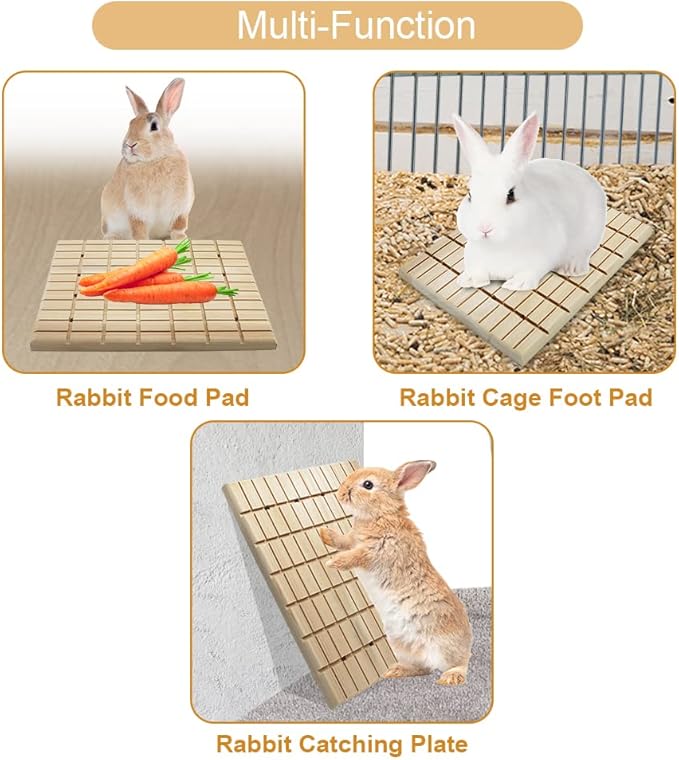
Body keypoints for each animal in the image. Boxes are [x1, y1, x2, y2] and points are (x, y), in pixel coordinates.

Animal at [101, 78, 195, 240]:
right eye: (130, 124)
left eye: (154, 126)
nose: (130, 144)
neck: (155, 160)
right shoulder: (137, 212)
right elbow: (140, 231)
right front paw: (142, 241)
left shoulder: (180, 209)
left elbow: (178, 228)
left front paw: (181, 239)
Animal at [319, 460, 473, 686]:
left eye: (367, 484)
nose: (340, 493)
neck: (380, 515)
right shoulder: (353, 540)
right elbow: (343, 541)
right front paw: (325, 534)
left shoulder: (378, 551)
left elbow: (356, 556)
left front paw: (334, 562)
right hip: (400, 644)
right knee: (422, 668)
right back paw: (395, 671)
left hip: (447, 645)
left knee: (460, 662)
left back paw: (450, 677)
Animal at [451, 112, 606, 291]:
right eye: (470, 195)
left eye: (511, 195)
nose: (484, 228)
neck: (498, 246)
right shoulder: (472, 253)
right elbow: (476, 270)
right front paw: (469, 281)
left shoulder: (542, 257)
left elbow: (530, 271)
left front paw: (517, 284)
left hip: (591, 234)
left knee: (583, 252)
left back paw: (573, 269)